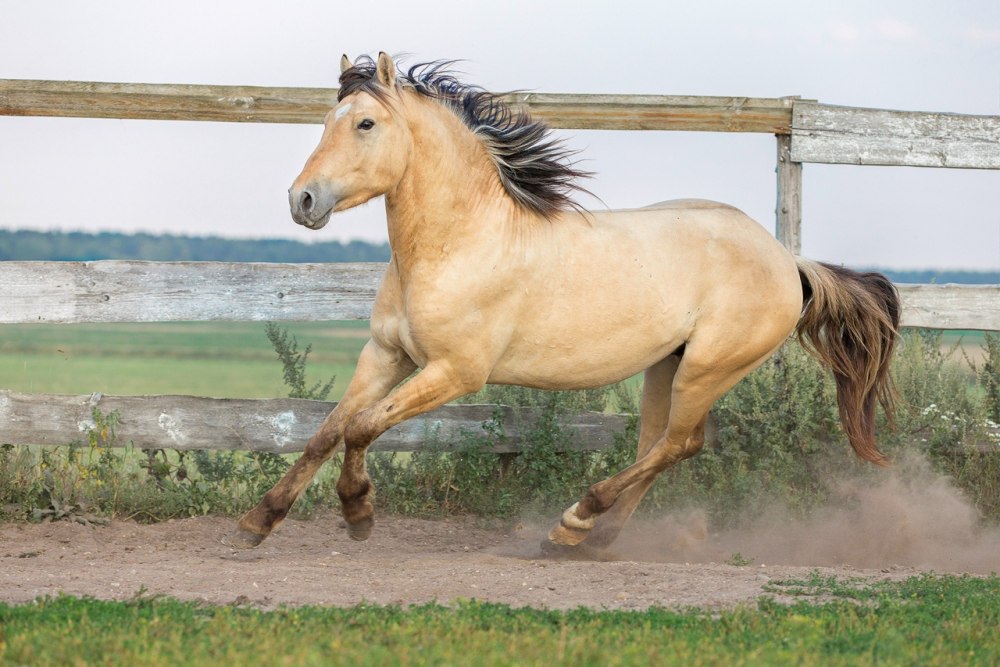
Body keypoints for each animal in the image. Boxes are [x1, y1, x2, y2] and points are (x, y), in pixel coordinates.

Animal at [225, 53, 900, 552]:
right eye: (326, 121)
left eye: (365, 124)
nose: (302, 200)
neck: (461, 243)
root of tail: (788, 261)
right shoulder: (387, 354)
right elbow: (326, 431)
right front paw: (258, 522)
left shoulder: (456, 373)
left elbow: (364, 427)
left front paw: (358, 513)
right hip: (667, 366)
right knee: (657, 444)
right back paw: (593, 538)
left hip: (710, 368)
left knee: (679, 445)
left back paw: (572, 523)